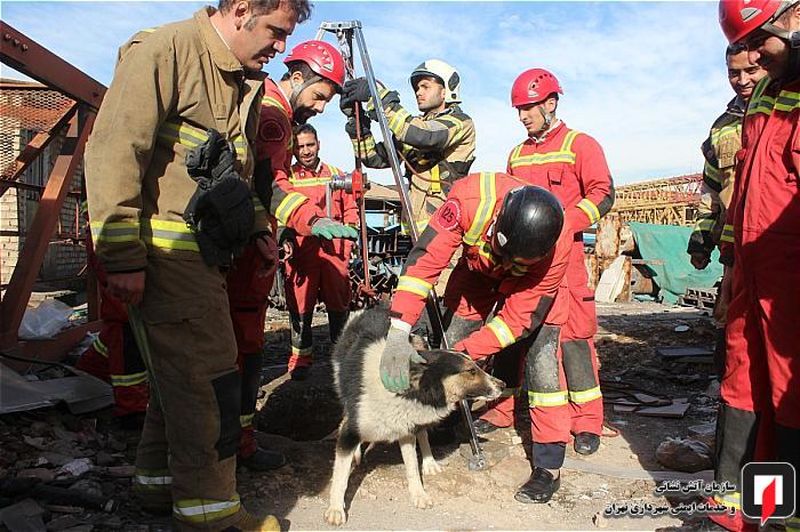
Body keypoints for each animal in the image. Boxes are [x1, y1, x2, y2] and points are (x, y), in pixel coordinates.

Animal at [324, 306, 500, 524]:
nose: (502, 385)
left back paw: (429, 462)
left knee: (423, 434)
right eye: (470, 371)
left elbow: (412, 468)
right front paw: (335, 509)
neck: (403, 391)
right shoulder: (351, 432)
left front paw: (419, 494)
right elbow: (340, 477)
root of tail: (377, 307)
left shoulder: (406, 429)